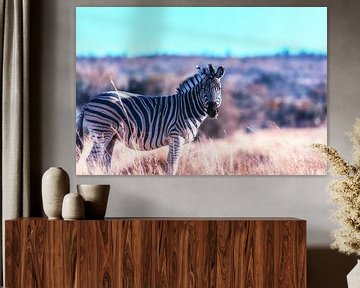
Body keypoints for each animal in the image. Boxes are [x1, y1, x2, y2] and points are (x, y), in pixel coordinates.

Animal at [76, 63, 225, 174]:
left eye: (219, 88)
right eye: (204, 89)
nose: (212, 110)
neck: (187, 108)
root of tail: (89, 102)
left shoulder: (175, 139)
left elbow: (170, 165)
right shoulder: (176, 137)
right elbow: (172, 166)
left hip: (111, 136)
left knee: (104, 163)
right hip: (102, 132)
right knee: (91, 161)